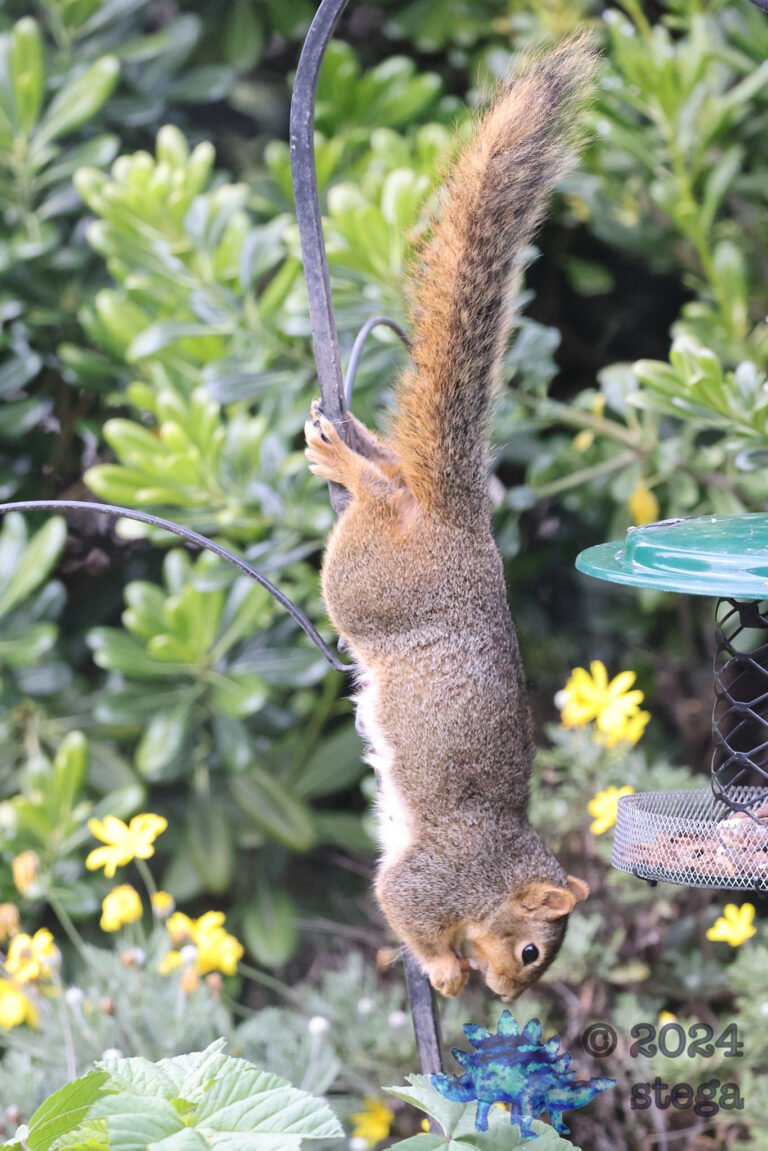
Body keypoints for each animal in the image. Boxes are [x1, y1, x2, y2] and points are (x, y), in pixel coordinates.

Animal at [305, 34, 595, 1000]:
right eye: (534, 951)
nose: (506, 993)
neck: (497, 868)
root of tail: (457, 521)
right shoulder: (434, 876)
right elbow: (398, 902)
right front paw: (444, 968)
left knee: (395, 473)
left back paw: (362, 450)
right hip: (368, 583)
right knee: (380, 500)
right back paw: (351, 469)